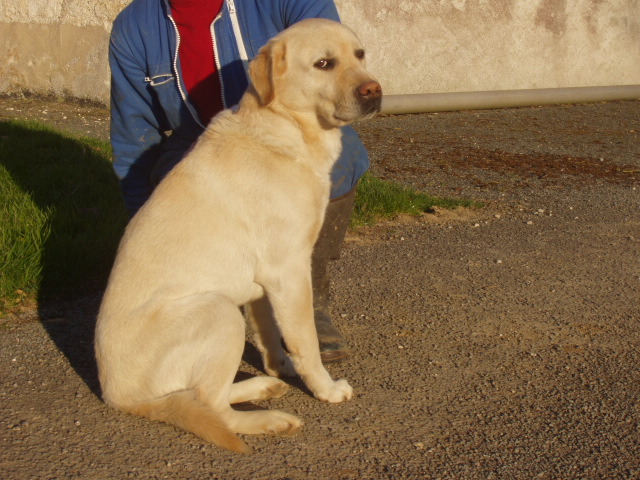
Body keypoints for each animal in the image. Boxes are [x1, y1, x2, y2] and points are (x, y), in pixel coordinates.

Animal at [95, 18, 380, 454]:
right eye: (323, 63)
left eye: (360, 55)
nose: (374, 91)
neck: (285, 127)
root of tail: (118, 397)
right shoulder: (288, 272)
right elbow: (306, 343)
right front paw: (326, 390)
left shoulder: (265, 284)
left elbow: (269, 335)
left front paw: (277, 367)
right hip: (219, 311)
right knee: (212, 408)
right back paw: (271, 420)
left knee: (201, 397)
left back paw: (263, 386)